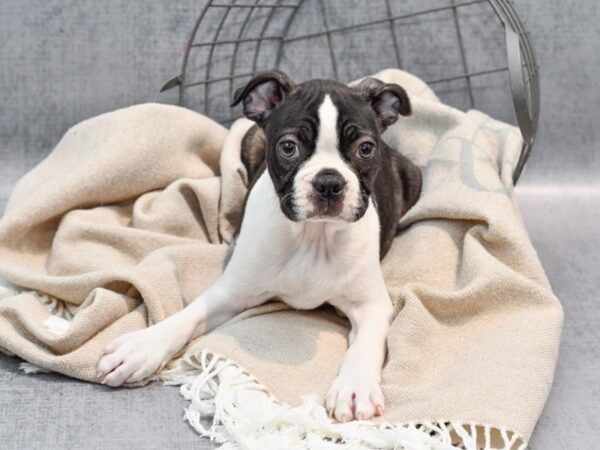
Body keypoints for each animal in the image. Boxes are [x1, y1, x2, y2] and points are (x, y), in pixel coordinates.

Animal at [97, 70, 422, 422]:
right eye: (289, 147)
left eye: (365, 148)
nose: (329, 182)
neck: (313, 236)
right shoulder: (231, 292)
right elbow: (187, 316)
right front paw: (141, 348)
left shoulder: (371, 305)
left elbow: (366, 346)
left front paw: (355, 387)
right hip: (248, 138)